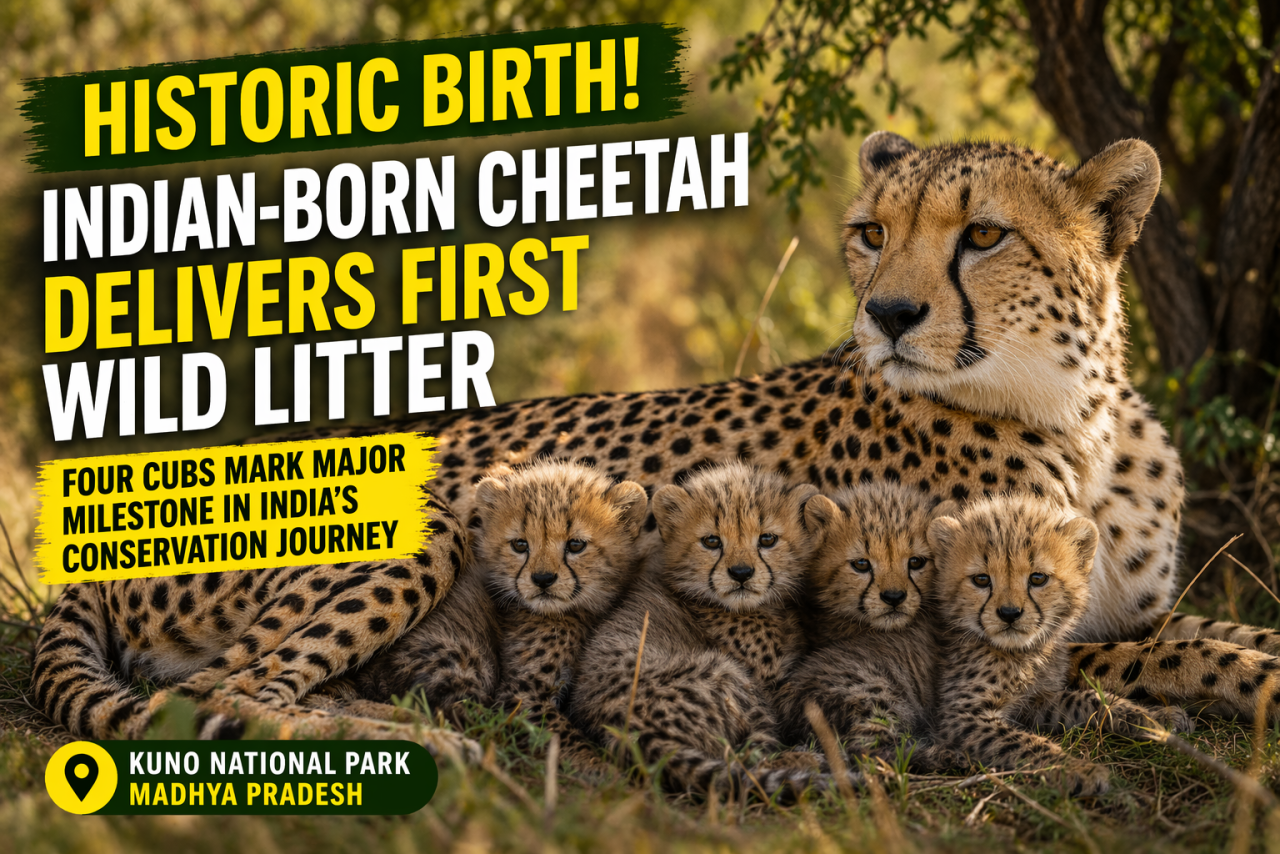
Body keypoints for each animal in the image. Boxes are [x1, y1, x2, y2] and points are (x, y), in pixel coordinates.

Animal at [571, 463, 831, 799]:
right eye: (711, 541)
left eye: (767, 539)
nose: (741, 573)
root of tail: (621, 725)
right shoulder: (768, 685)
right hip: (726, 674)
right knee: (747, 757)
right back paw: (805, 760)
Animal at [926, 496, 1194, 797]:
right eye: (981, 579)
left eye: (1038, 578)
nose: (1009, 613)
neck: (1023, 654)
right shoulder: (961, 717)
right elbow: (1023, 744)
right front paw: (1077, 770)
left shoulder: (1037, 701)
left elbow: (1090, 699)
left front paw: (1156, 718)